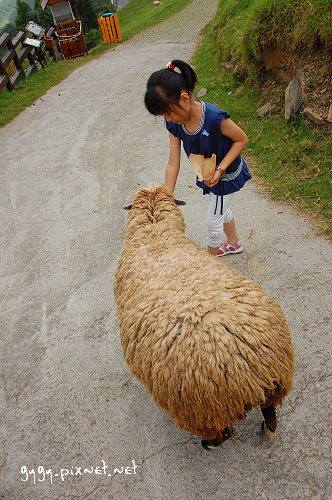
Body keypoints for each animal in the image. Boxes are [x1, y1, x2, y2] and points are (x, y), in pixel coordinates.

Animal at [113, 183, 294, 450]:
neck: (157, 233)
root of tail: (250, 367)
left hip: (203, 409)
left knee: (223, 432)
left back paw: (209, 444)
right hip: (276, 384)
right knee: (269, 412)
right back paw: (268, 429)